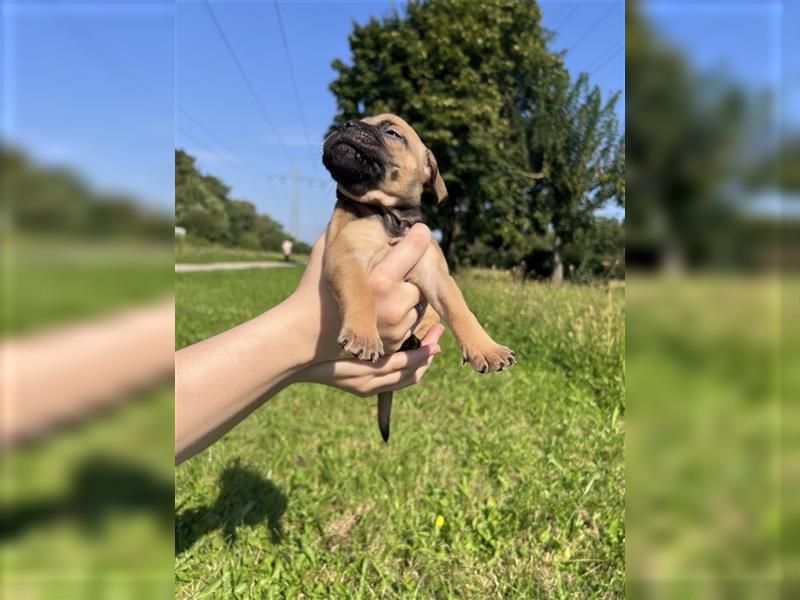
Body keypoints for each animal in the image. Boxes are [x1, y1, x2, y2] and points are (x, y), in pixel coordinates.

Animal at [318, 113, 512, 440]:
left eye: (392, 132)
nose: (346, 124)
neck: (389, 215)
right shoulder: (346, 257)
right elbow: (361, 293)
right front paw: (364, 335)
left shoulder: (437, 276)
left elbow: (462, 311)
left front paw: (486, 348)